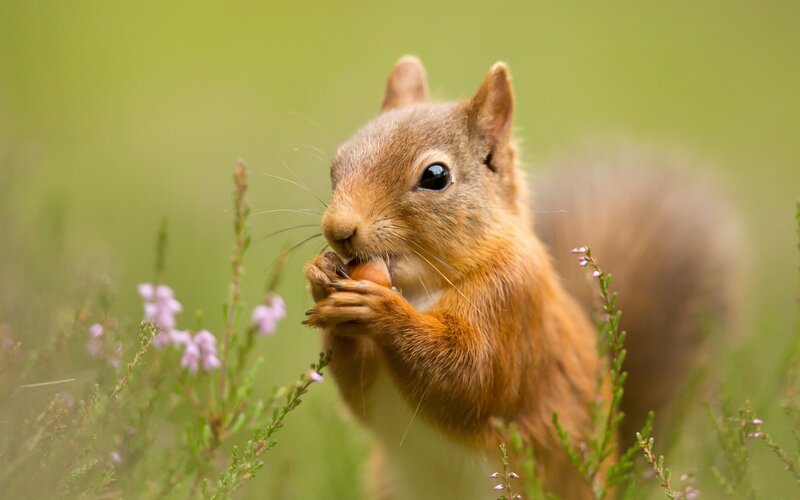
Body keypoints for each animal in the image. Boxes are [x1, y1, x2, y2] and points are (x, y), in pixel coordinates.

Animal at [303, 55, 737, 499]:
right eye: (336, 164)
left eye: (436, 176)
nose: (338, 229)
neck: (422, 287)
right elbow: (359, 394)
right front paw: (321, 278)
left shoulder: (512, 300)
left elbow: (469, 378)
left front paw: (379, 309)